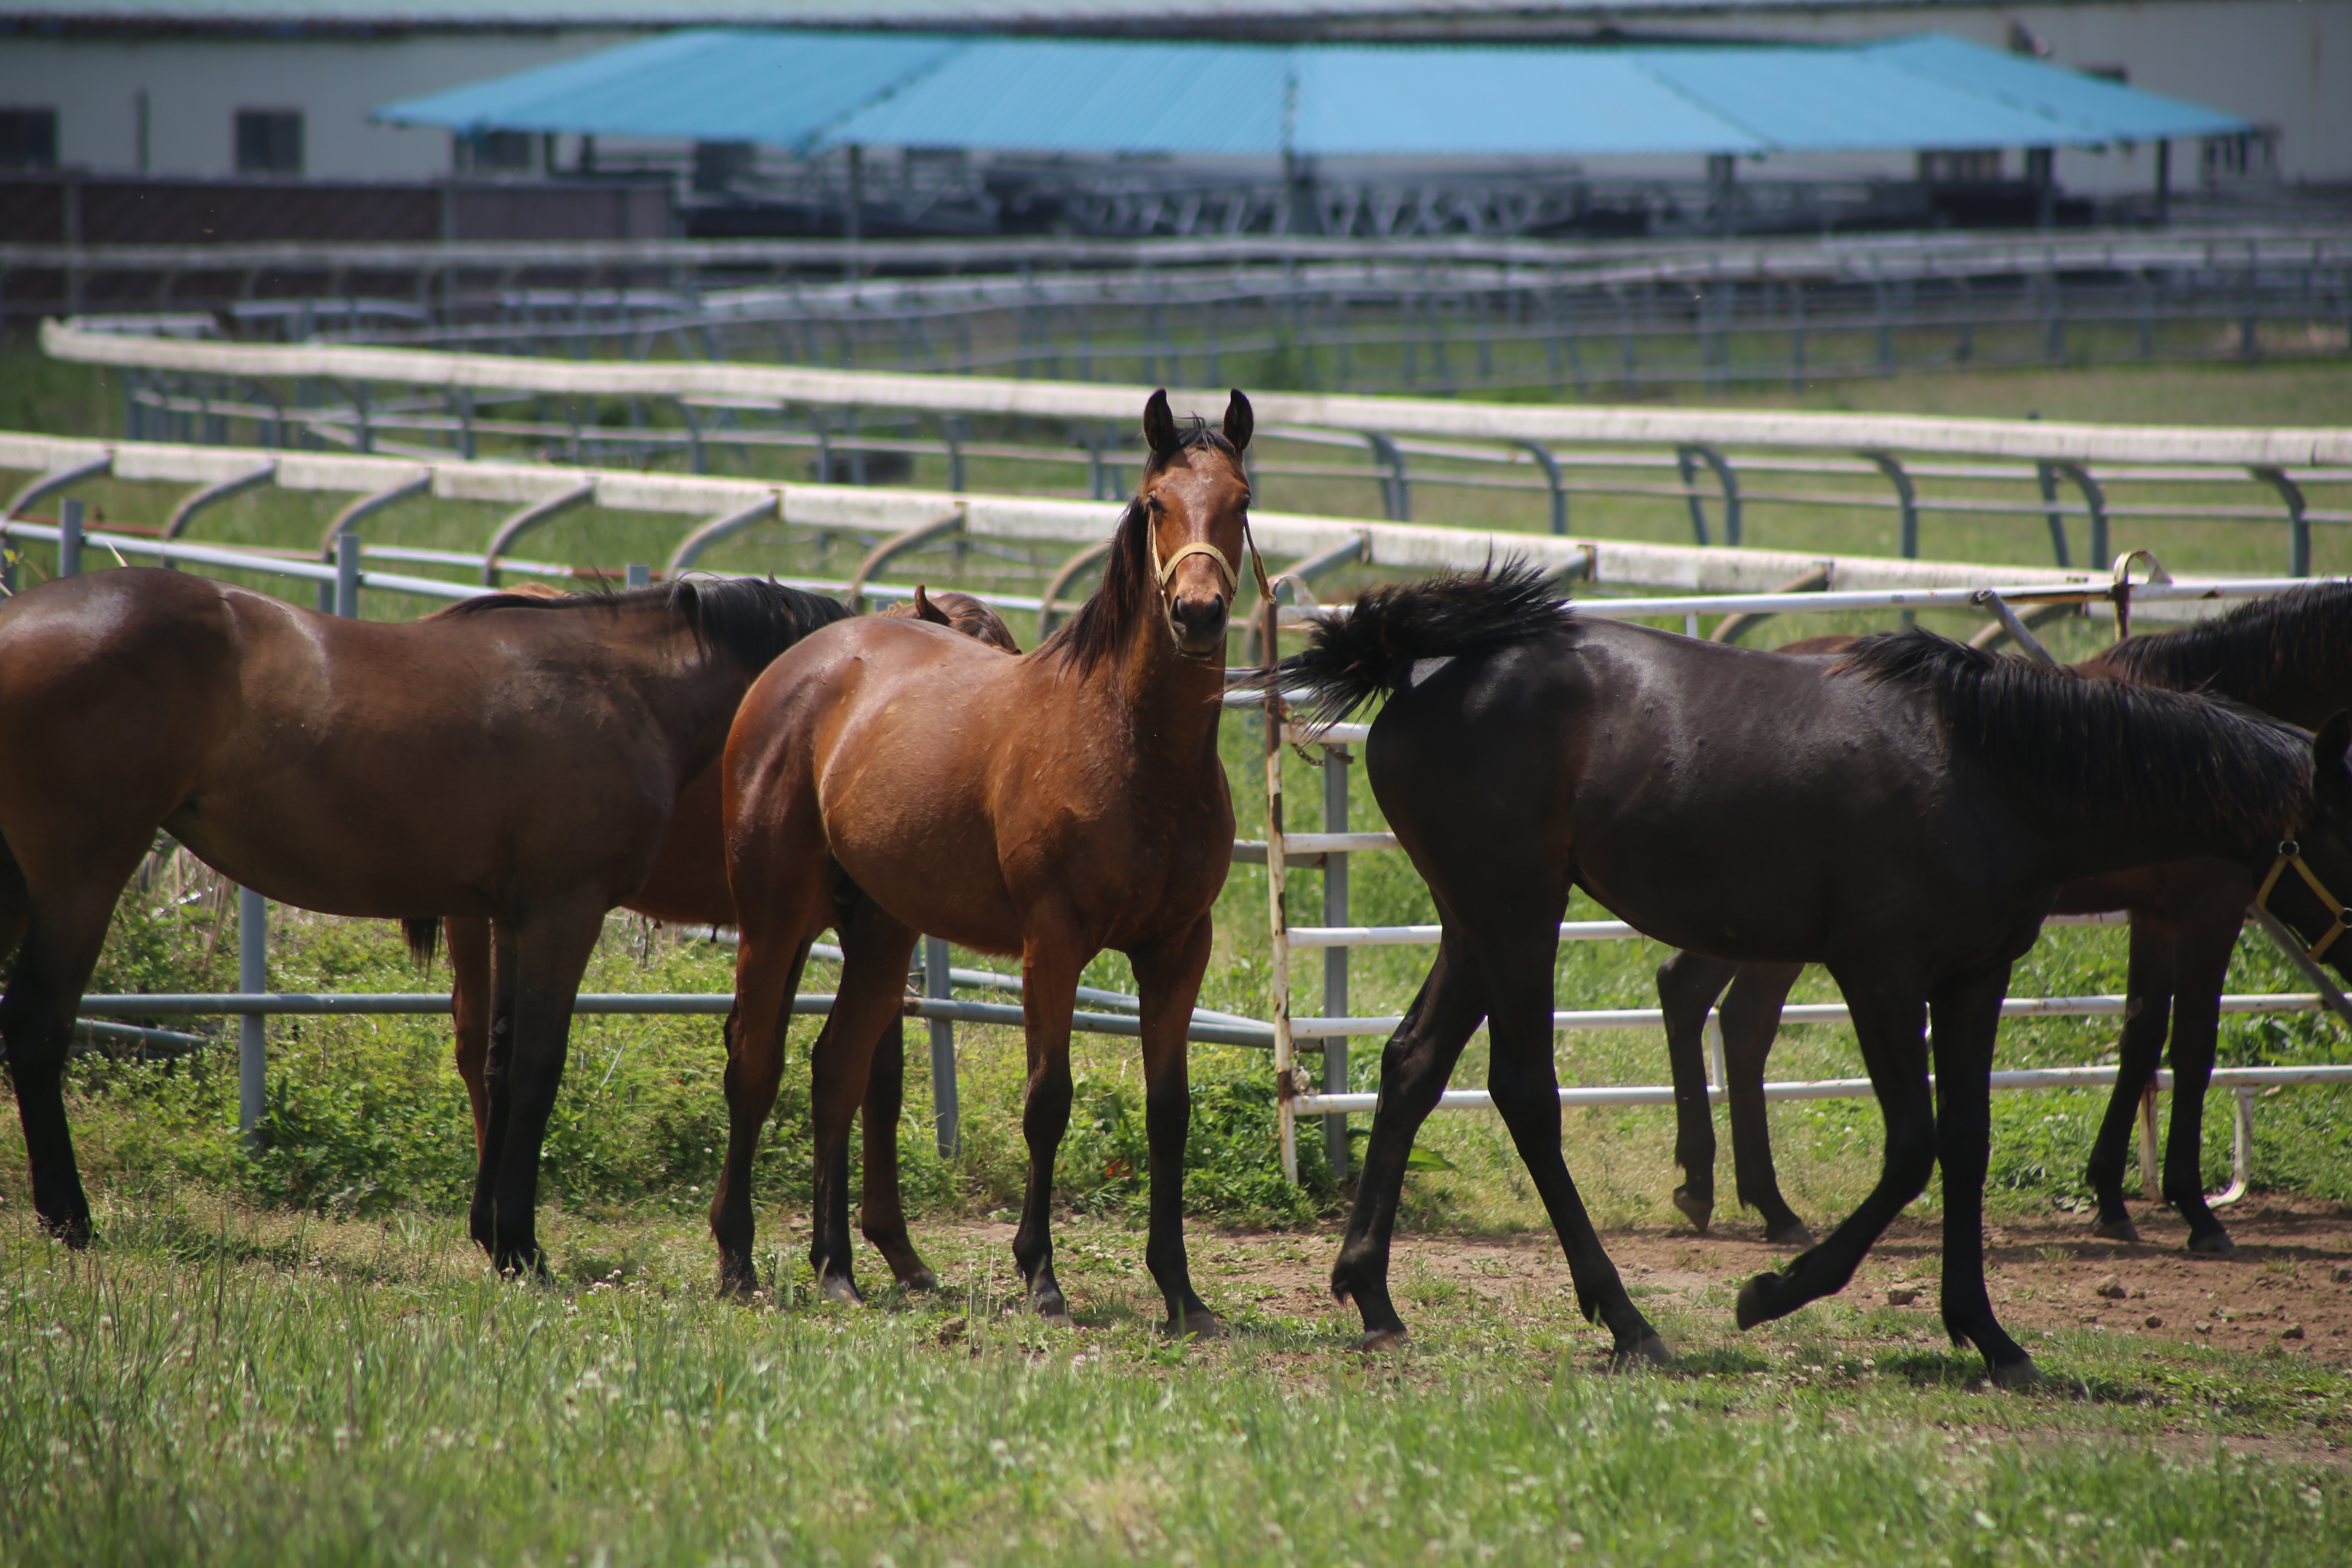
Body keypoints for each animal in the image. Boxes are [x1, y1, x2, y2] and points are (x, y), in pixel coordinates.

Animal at [0, 571, 846, 1269]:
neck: (624, 690)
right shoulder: (562, 911)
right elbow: (537, 1068)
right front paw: (520, 1246)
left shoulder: (511, 915)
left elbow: (499, 1063)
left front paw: (492, 1231)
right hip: (81, 877)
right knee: (38, 1027)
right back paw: (70, 1217)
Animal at [442, 585, 1020, 1288]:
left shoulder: (854, 931)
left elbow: (873, 1077)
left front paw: (892, 1247)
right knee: (477, 1046)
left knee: (497, 1053)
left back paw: (491, 1222)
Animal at [706, 385, 1251, 1335]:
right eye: (1156, 505)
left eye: (1242, 502)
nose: (1198, 613)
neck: (1135, 750)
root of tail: (805, 663)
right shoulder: (1053, 945)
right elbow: (1048, 1101)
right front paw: (1041, 1278)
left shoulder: (1180, 948)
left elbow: (1169, 1113)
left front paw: (1182, 1293)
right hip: (775, 918)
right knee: (755, 1064)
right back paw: (738, 1260)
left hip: (880, 933)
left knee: (836, 1070)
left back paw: (838, 1269)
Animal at [1656, 583, 2352, 1260]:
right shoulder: (2209, 907)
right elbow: (2193, 1046)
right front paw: (2195, 1209)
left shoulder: (2155, 916)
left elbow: (2140, 1038)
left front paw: (2111, 1198)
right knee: (1737, 1018)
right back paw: (1762, 1203)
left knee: (1699, 997)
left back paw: (1718, 1190)